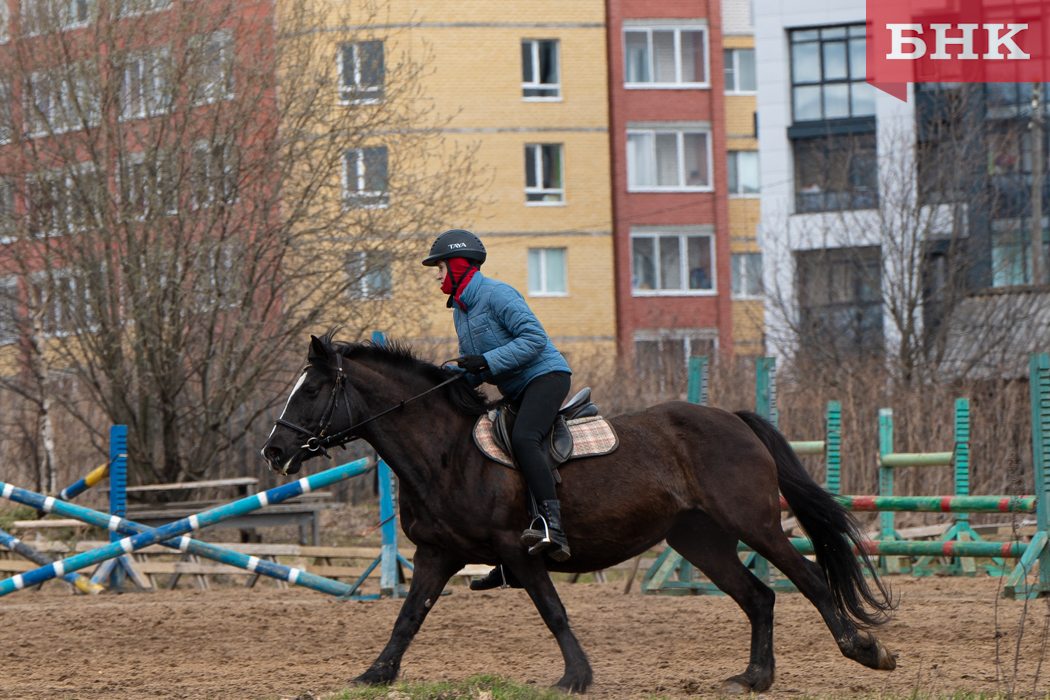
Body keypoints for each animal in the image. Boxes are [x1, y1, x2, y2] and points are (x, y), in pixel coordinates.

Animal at [260, 335, 894, 696]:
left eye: (311, 390)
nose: (274, 451)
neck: (446, 451)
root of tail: (733, 418)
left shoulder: (518, 549)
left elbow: (553, 611)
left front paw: (576, 678)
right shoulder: (438, 553)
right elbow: (408, 617)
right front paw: (375, 675)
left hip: (752, 524)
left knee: (808, 581)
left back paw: (864, 650)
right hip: (698, 540)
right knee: (759, 597)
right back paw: (755, 678)